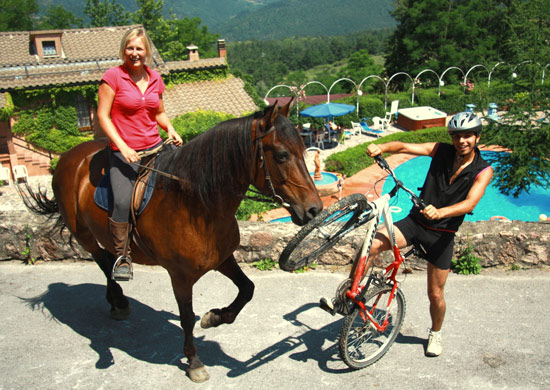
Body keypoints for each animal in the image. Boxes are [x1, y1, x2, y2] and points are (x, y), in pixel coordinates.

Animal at [24, 102, 324, 382]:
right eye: (282, 155)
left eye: (303, 149)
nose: (314, 209)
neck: (197, 204)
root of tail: (69, 157)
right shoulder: (180, 276)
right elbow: (186, 317)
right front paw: (194, 362)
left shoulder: (222, 259)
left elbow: (247, 289)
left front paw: (215, 317)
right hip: (84, 235)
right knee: (101, 260)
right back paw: (118, 297)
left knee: (108, 260)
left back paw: (117, 300)